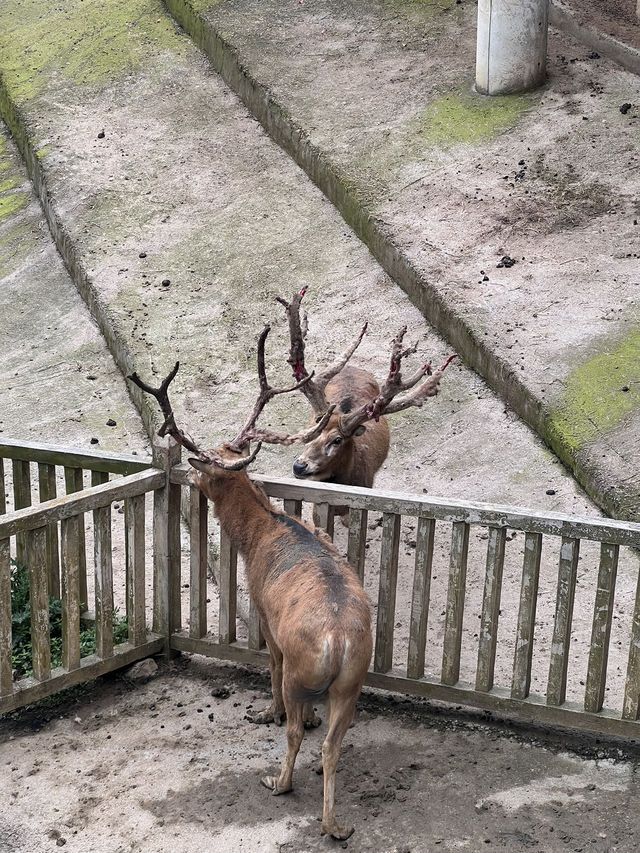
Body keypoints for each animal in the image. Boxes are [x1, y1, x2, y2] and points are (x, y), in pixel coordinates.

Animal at [128, 326, 372, 840]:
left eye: (201, 467)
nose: (194, 477)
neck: (260, 536)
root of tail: (340, 642)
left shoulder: (263, 611)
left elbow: (271, 668)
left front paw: (266, 711)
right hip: (352, 681)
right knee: (333, 745)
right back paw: (336, 823)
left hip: (304, 668)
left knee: (295, 726)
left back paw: (279, 781)